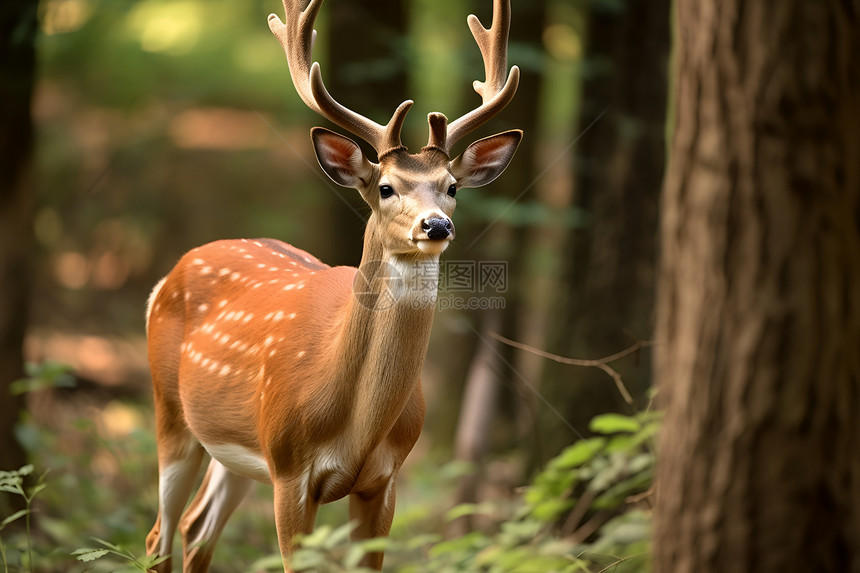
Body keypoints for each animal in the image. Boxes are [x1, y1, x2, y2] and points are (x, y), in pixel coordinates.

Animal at [144, 2, 520, 568]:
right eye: (385, 187)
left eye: (452, 187)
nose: (436, 226)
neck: (355, 425)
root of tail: (167, 277)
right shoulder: (289, 470)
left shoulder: (384, 482)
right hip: (172, 413)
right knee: (158, 536)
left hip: (234, 451)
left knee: (196, 527)